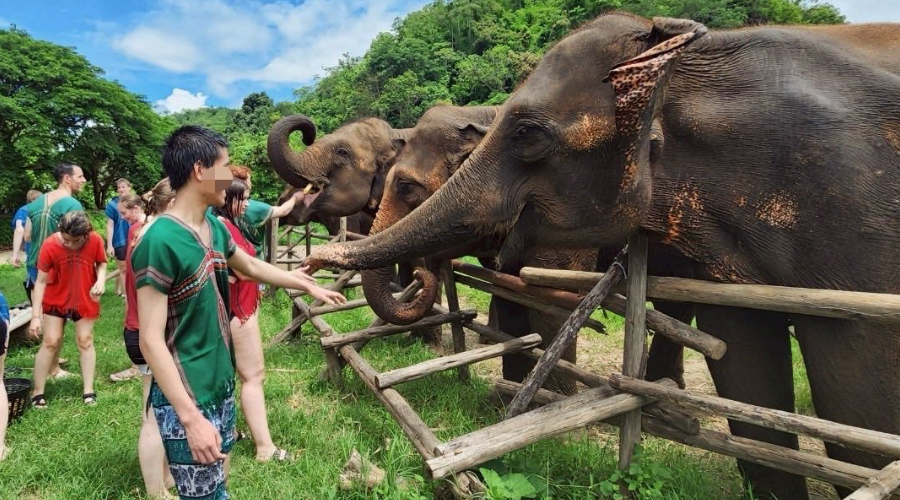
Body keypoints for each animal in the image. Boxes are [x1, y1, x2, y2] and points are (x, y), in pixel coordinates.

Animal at [307, 13, 900, 500]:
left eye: (528, 135)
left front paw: (546, 405)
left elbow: (858, 387)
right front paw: (506, 400)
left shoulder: (850, 200)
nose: (318, 258)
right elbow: (744, 362)